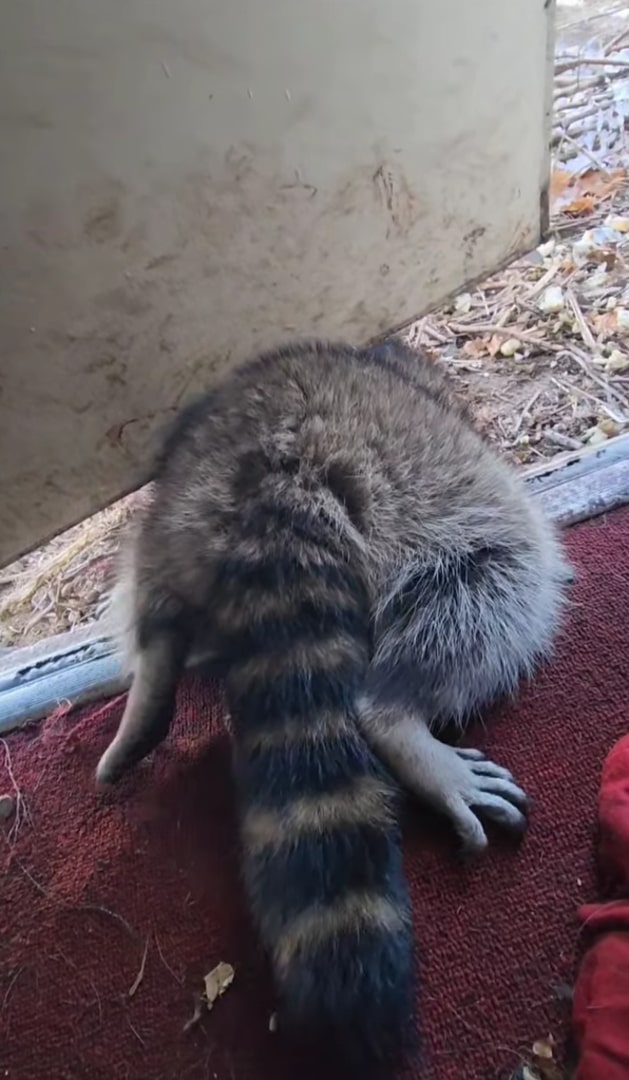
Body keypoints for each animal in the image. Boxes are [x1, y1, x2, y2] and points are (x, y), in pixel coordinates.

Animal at [96, 339, 570, 1069]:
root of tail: (280, 463)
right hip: (428, 491)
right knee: (504, 577)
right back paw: (399, 719)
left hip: (173, 518)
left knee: (151, 601)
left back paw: (152, 681)